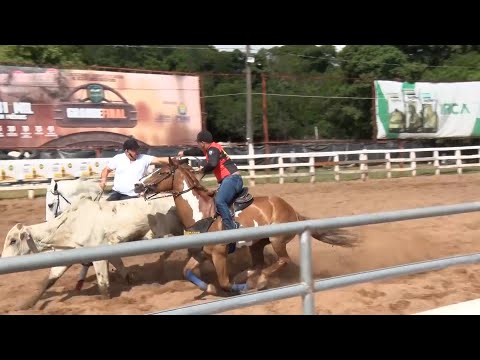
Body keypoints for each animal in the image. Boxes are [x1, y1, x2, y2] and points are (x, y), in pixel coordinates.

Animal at [133, 158, 358, 296]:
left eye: (162, 172)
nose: (138, 185)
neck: (202, 212)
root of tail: (292, 210)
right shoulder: (200, 253)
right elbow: (186, 272)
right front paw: (210, 289)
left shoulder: (219, 255)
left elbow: (225, 282)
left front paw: (242, 287)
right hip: (257, 244)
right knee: (258, 263)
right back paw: (248, 275)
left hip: (278, 240)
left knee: (282, 261)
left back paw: (259, 280)